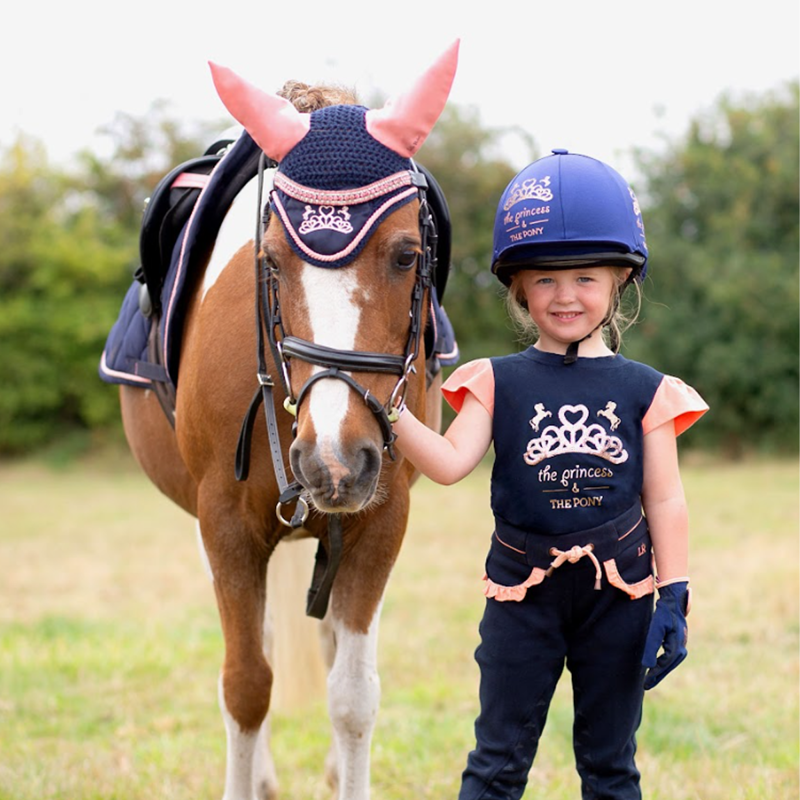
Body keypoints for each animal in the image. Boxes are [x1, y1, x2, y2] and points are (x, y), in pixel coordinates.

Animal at [111, 41, 460, 800]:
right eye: (268, 262)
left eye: (408, 255)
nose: (335, 458)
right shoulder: (223, 525)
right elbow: (246, 685)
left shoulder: (380, 520)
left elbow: (353, 694)